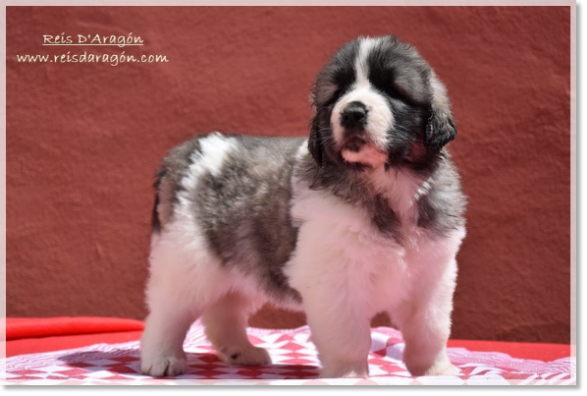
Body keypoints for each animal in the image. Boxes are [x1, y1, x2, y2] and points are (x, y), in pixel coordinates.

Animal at [140, 35, 466, 378]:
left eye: (393, 90)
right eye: (337, 94)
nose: (352, 112)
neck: (386, 183)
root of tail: (187, 151)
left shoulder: (432, 277)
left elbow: (429, 330)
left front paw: (436, 371)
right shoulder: (334, 280)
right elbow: (349, 336)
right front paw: (349, 376)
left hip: (244, 262)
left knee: (224, 310)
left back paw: (241, 351)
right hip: (189, 258)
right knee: (169, 311)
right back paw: (161, 357)